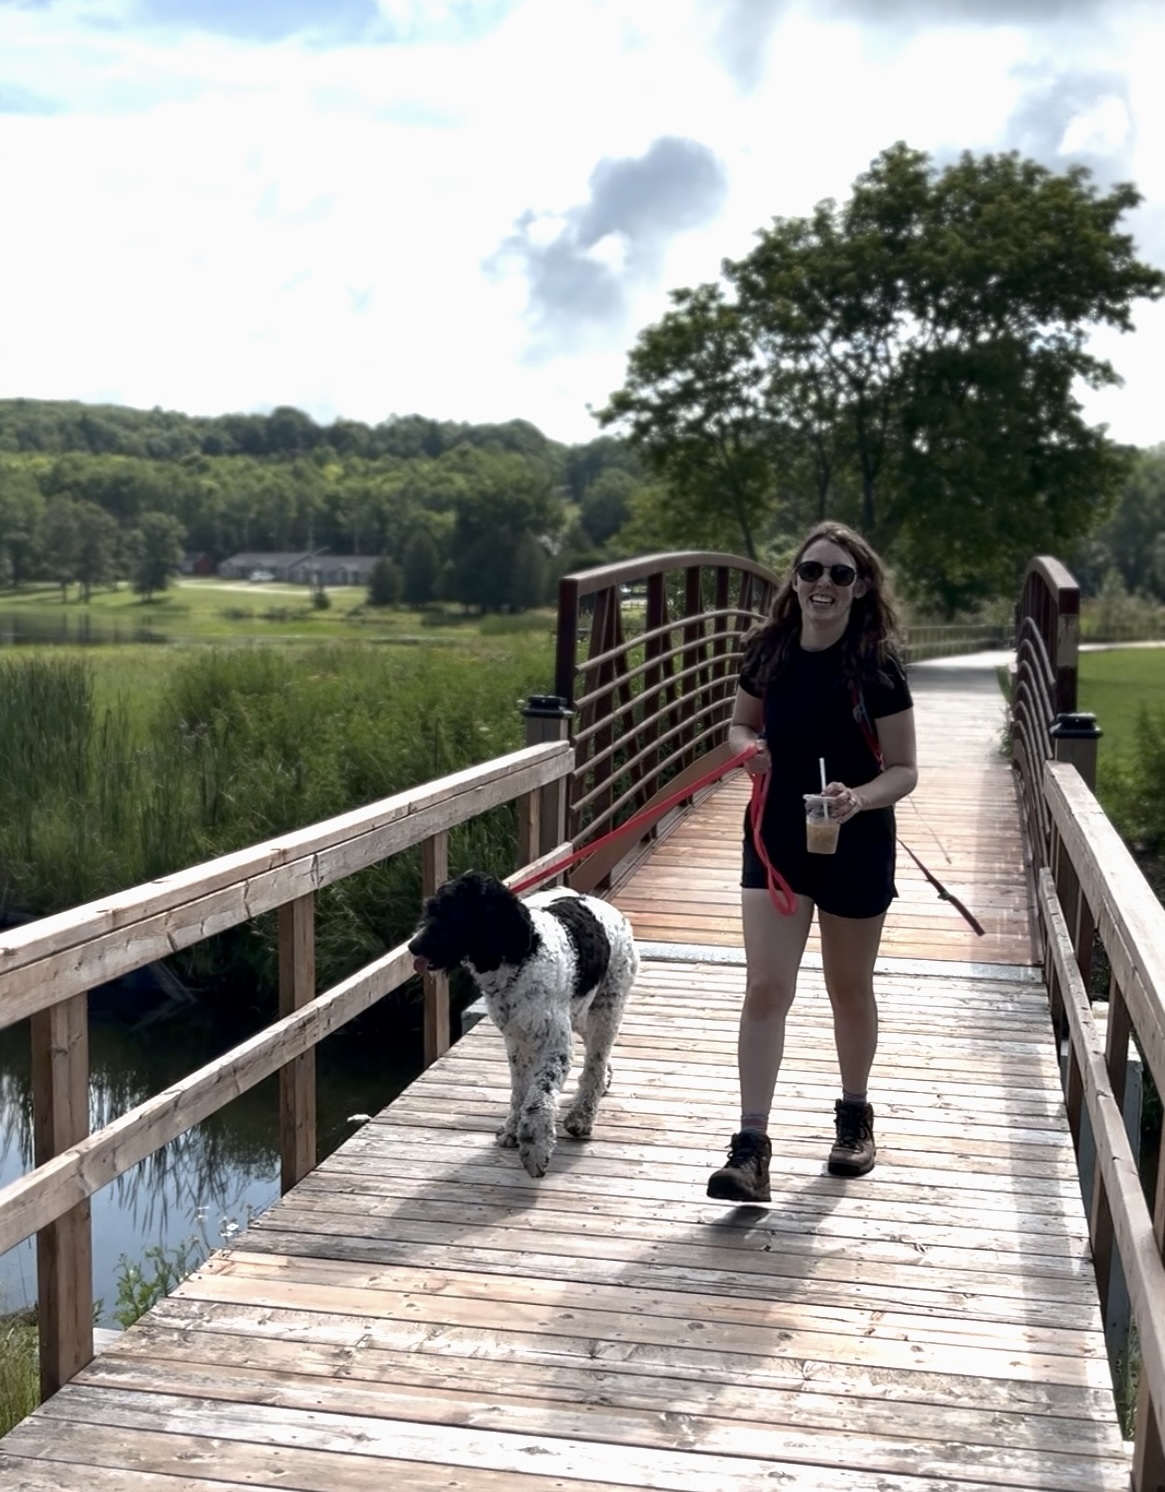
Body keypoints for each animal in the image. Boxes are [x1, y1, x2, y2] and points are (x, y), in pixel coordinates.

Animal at [408, 871, 641, 1175]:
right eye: (431, 910)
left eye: (452, 914)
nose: (413, 946)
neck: (522, 956)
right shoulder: (516, 1042)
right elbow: (520, 1091)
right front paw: (512, 1130)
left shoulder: (555, 1047)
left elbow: (538, 1098)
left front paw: (534, 1148)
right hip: (580, 1012)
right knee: (596, 1056)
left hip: (607, 1007)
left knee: (595, 1061)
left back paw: (581, 1116)